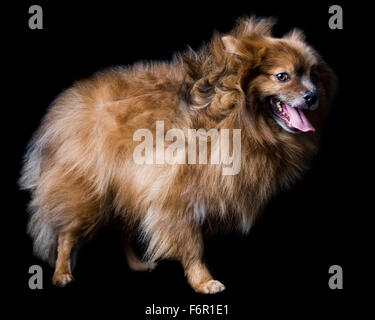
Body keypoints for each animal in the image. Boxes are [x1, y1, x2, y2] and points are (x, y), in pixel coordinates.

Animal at [19, 16, 336, 292]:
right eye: (282, 76)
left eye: (313, 76)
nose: (312, 96)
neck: (235, 114)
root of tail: (67, 106)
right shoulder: (178, 195)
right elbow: (192, 246)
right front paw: (203, 281)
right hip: (88, 193)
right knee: (67, 233)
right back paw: (62, 272)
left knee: (122, 227)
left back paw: (137, 264)